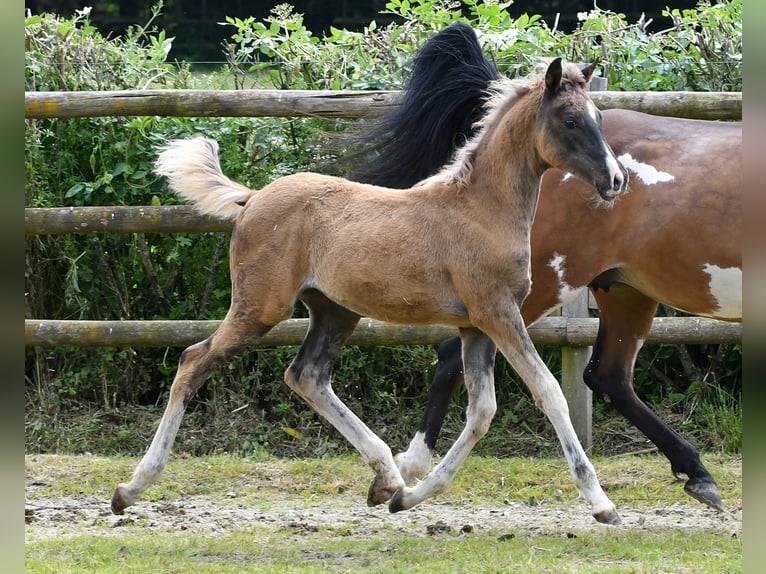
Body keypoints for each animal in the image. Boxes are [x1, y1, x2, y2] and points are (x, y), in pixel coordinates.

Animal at [112, 59, 632, 528]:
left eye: (598, 116)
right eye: (570, 120)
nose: (616, 180)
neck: (482, 208)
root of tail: (253, 197)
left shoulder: (475, 325)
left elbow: (482, 411)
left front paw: (409, 497)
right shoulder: (498, 314)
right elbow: (549, 393)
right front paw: (602, 503)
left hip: (335, 312)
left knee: (306, 376)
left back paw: (387, 479)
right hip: (260, 307)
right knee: (193, 361)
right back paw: (130, 489)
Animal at [348, 22, 744, 510]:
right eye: (571, 121)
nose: (617, 180)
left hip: (623, 290)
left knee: (608, 376)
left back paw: (697, 473)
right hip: (541, 287)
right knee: (455, 358)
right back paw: (408, 469)